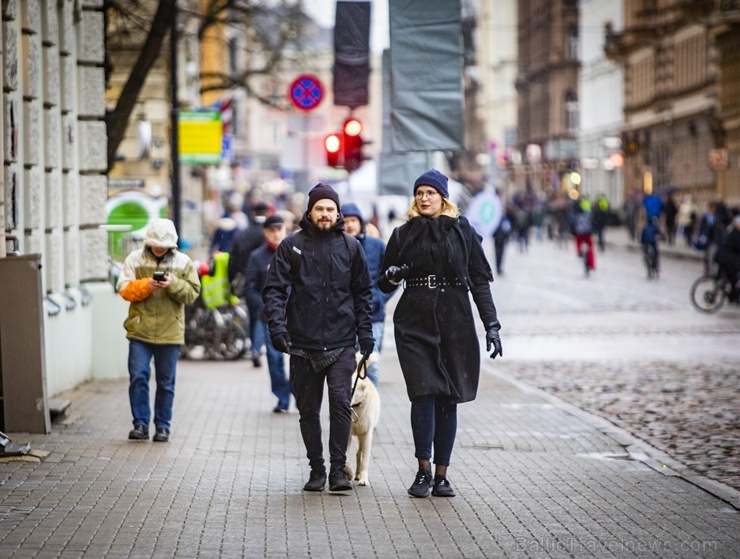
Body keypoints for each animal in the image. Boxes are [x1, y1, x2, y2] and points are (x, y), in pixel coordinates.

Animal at [344, 356, 382, 488]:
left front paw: (364, 479)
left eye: (351, 388)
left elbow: (365, 459)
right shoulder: (348, 434)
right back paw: (355, 474)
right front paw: (347, 471)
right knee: (357, 454)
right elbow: (344, 455)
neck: (355, 408)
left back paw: (359, 475)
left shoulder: (367, 435)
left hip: (362, 436)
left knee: (359, 453)